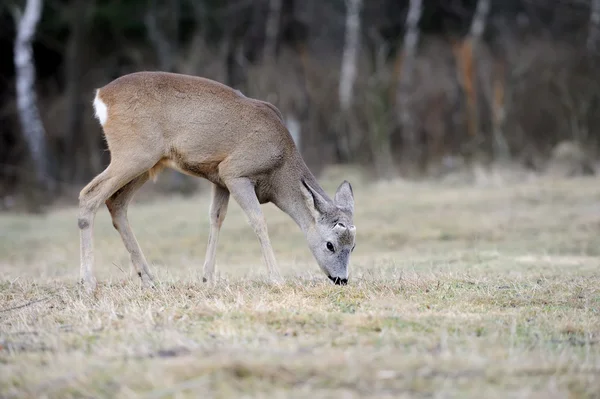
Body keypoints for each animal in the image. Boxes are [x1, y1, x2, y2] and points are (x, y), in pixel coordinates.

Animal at [80, 71, 358, 294]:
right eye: (330, 244)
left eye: (353, 246)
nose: (341, 280)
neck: (279, 167)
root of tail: (101, 96)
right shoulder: (235, 172)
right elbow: (258, 221)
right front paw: (276, 279)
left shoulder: (219, 178)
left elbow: (216, 218)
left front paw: (207, 278)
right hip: (135, 153)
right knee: (89, 194)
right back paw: (88, 283)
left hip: (148, 163)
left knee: (116, 203)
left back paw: (148, 279)